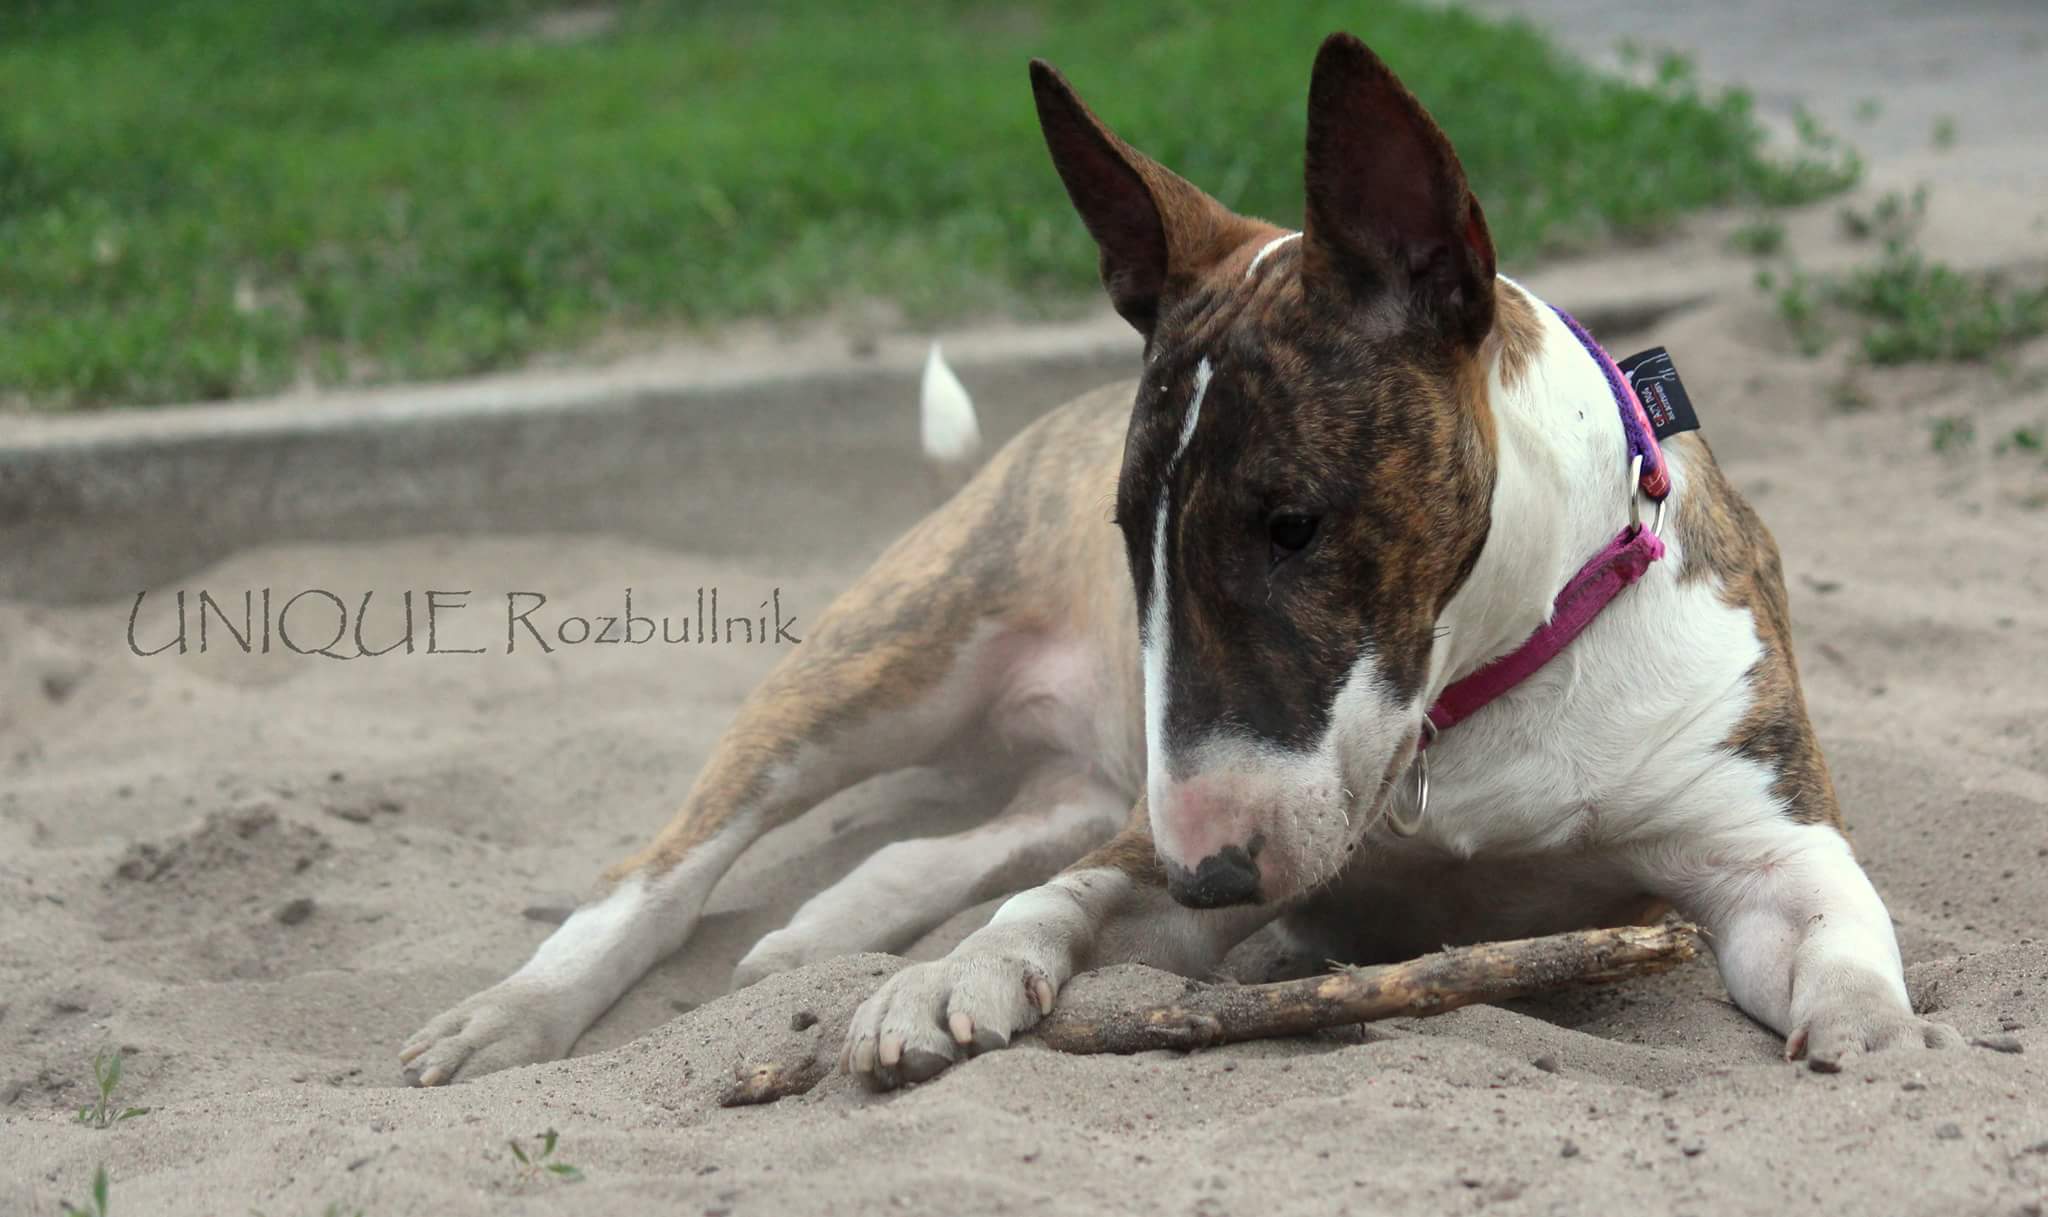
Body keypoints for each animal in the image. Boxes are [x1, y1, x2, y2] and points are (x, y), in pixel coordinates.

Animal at [401, 33, 1958, 1090]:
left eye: (1294, 522)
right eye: (1126, 528)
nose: (1213, 878)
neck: (1478, 694)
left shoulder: (1760, 832)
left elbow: (1837, 925)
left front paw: (1868, 1029)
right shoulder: (1180, 843)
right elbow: (1057, 904)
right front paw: (946, 983)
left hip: (1079, 767)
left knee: (936, 840)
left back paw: (820, 933)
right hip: (892, 661)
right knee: (667, 862)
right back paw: (516, 1012)